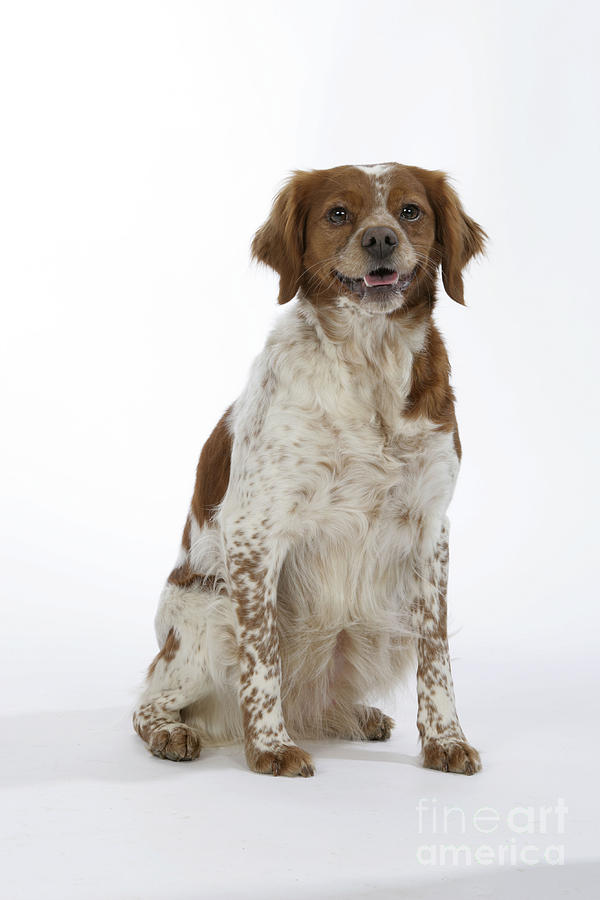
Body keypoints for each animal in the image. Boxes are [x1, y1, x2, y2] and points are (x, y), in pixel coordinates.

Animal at [134, 165, 486, 776]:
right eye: (338, 214)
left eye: (410, 210)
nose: (380, 238)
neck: (370, 360)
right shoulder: (254, 530)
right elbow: (264, 657)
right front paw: (270, 748)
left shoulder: (430, 528)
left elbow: (436, 653)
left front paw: (445, 740)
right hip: (210, 610)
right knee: (148, 702)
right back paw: (172, 733)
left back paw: (355, 716)